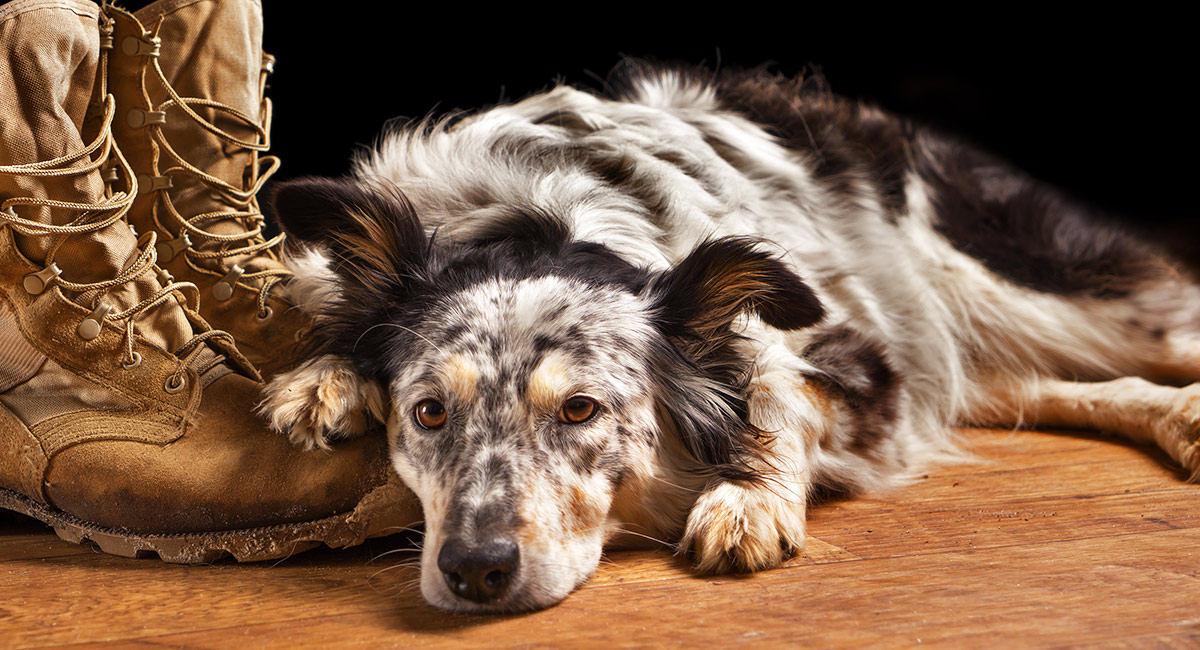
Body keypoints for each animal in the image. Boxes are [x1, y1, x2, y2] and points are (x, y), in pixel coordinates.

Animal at [258, 63, 1200, 614]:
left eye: (581, 411)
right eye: (426, 414)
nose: (474, 571)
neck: (539, 221)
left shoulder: (859, 358)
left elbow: (777, 398)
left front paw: (750, 499)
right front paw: (323, 380)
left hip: (1021, 287)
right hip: (962, 345)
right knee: (1057, 384)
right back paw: (1182, 421)